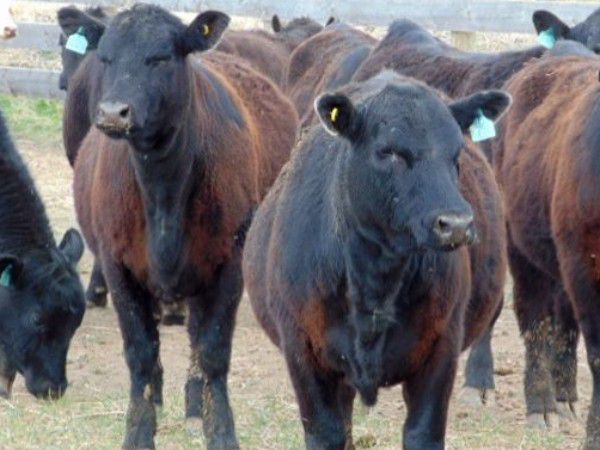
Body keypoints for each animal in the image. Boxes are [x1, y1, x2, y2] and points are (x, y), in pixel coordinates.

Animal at [73, 5, 298, 449]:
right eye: (104, 57)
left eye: (161, 57)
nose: (113, 113)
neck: (162, 191)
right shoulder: (117, 266)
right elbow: (141, 354)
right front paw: (138, 432)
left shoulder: (229, 264)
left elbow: (211, 351)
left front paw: (220, 430)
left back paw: (195, 407)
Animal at [243, 71, 510, 450]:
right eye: (389, 152)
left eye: (457, 152)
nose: (456, 224)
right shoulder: (302, 352)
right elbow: (328, 433)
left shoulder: (442, 346)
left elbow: (422, 433)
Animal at [492, 55, 600, 448]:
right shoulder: (587, 268)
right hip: (523, 250)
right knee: (535, 319)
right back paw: (540, 405)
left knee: (564, 321)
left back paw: (564, 397)